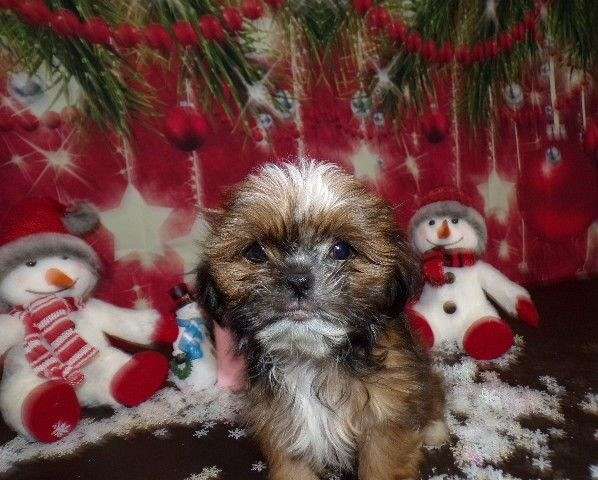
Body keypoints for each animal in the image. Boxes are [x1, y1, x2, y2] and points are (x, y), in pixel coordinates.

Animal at [199, 162, 448, 480]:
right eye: (255, 252)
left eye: (341, 249)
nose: (298, 279)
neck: (311, 360)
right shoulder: (282, 428)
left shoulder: (387, 417)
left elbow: (382, 463)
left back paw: (435, 429)